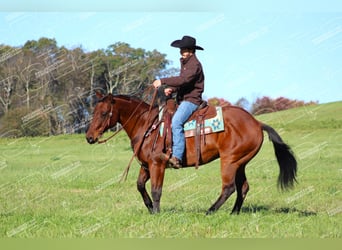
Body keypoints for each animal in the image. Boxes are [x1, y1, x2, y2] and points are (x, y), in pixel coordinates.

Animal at [86, 92, 296, 215]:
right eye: (94, 111)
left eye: (104, 113)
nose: (89, 137)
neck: (147, 125)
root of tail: (257, 122)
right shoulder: (146, 165)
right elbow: (139, 186)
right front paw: (150, 208)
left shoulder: (157, 164)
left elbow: (156, 190)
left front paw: (157, 212)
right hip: (240, 163)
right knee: (242, 187)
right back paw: (233, 213)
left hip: (229, 161)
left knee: (229, 188)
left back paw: (210, 211)